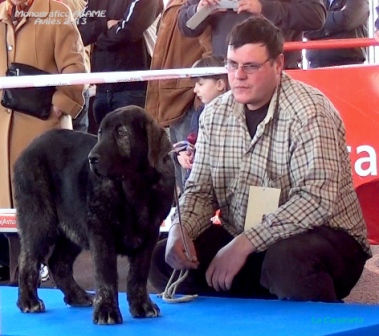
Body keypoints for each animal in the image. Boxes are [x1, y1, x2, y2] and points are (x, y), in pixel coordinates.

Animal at [13, 106, 176, 324]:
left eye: (121, 132)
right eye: (100, 133)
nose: (92, 158)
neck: (135, 187)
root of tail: (27, 150)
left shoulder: (150, 232)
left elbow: (138, 273)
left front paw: (142, 306)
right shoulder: (101, 229)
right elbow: (106, 273)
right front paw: (107, 310)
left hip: (74, 226)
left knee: (58, 262)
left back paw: (77, 296)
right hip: (41, 219)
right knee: (28, 259)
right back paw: (28, 301)